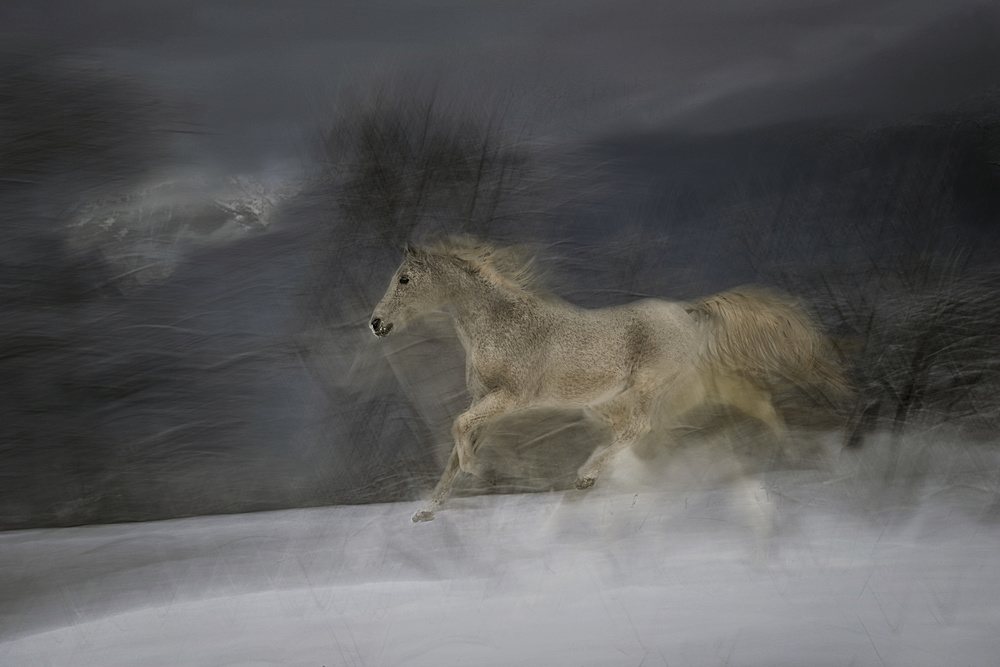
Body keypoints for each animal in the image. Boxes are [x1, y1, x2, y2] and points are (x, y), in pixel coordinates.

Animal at [370, 237, 852, 524]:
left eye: (404, 279)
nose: (376, 324)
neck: (499, 325)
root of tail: (687, 311)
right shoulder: (486, 402)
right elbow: (456, 445)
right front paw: (428, 510)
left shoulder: (510, 398)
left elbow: (458, 431)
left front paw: (477, 470)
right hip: (611, 399)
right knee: (646, 431)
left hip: (645, 388)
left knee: (642, 427)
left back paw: (586, 476)